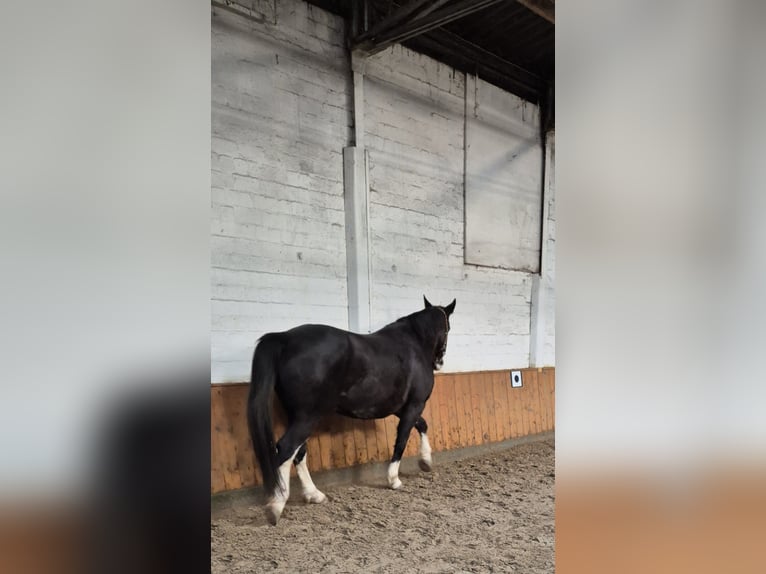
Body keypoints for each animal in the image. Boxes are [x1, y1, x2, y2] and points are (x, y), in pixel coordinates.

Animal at [250, 296, 456, 528]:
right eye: (447, 327)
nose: (439, 361)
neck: (414, 345)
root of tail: (285, 338)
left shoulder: (400, 408)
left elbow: (422, 425)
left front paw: (426, 462)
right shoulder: (414, 405)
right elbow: (402, 439)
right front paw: (394, 479)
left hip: (298, 416)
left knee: (298, 451)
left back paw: (313, 494)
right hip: (307, 417)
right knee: (286, 448)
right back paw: (276, 505)